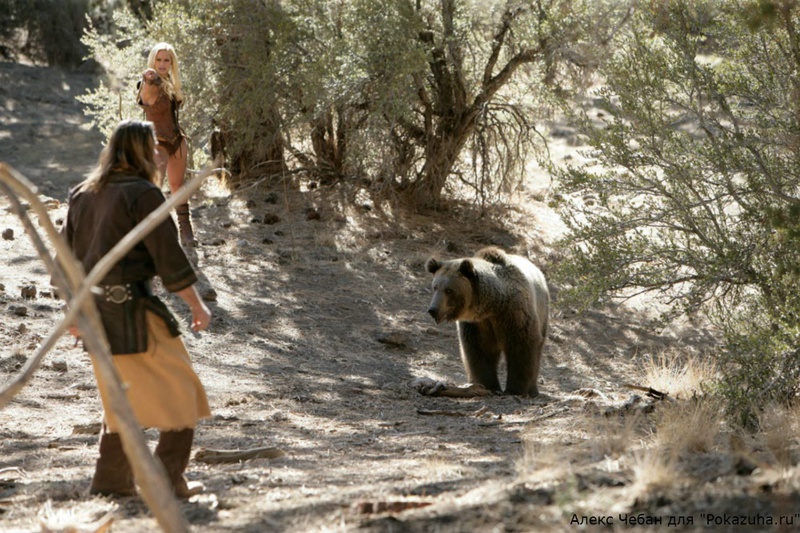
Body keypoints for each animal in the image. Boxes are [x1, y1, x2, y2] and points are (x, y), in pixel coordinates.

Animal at [424, 245, 552, 394]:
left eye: (449, 290)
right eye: (435, 287)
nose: (433, 310)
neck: (494, 305)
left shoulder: (514, 315)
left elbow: (522, 347)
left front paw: (515, 389)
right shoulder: (477, 324)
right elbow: (480, 351)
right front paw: (488, 385)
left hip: (542, 312)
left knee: (537, 349)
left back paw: (533, 390)